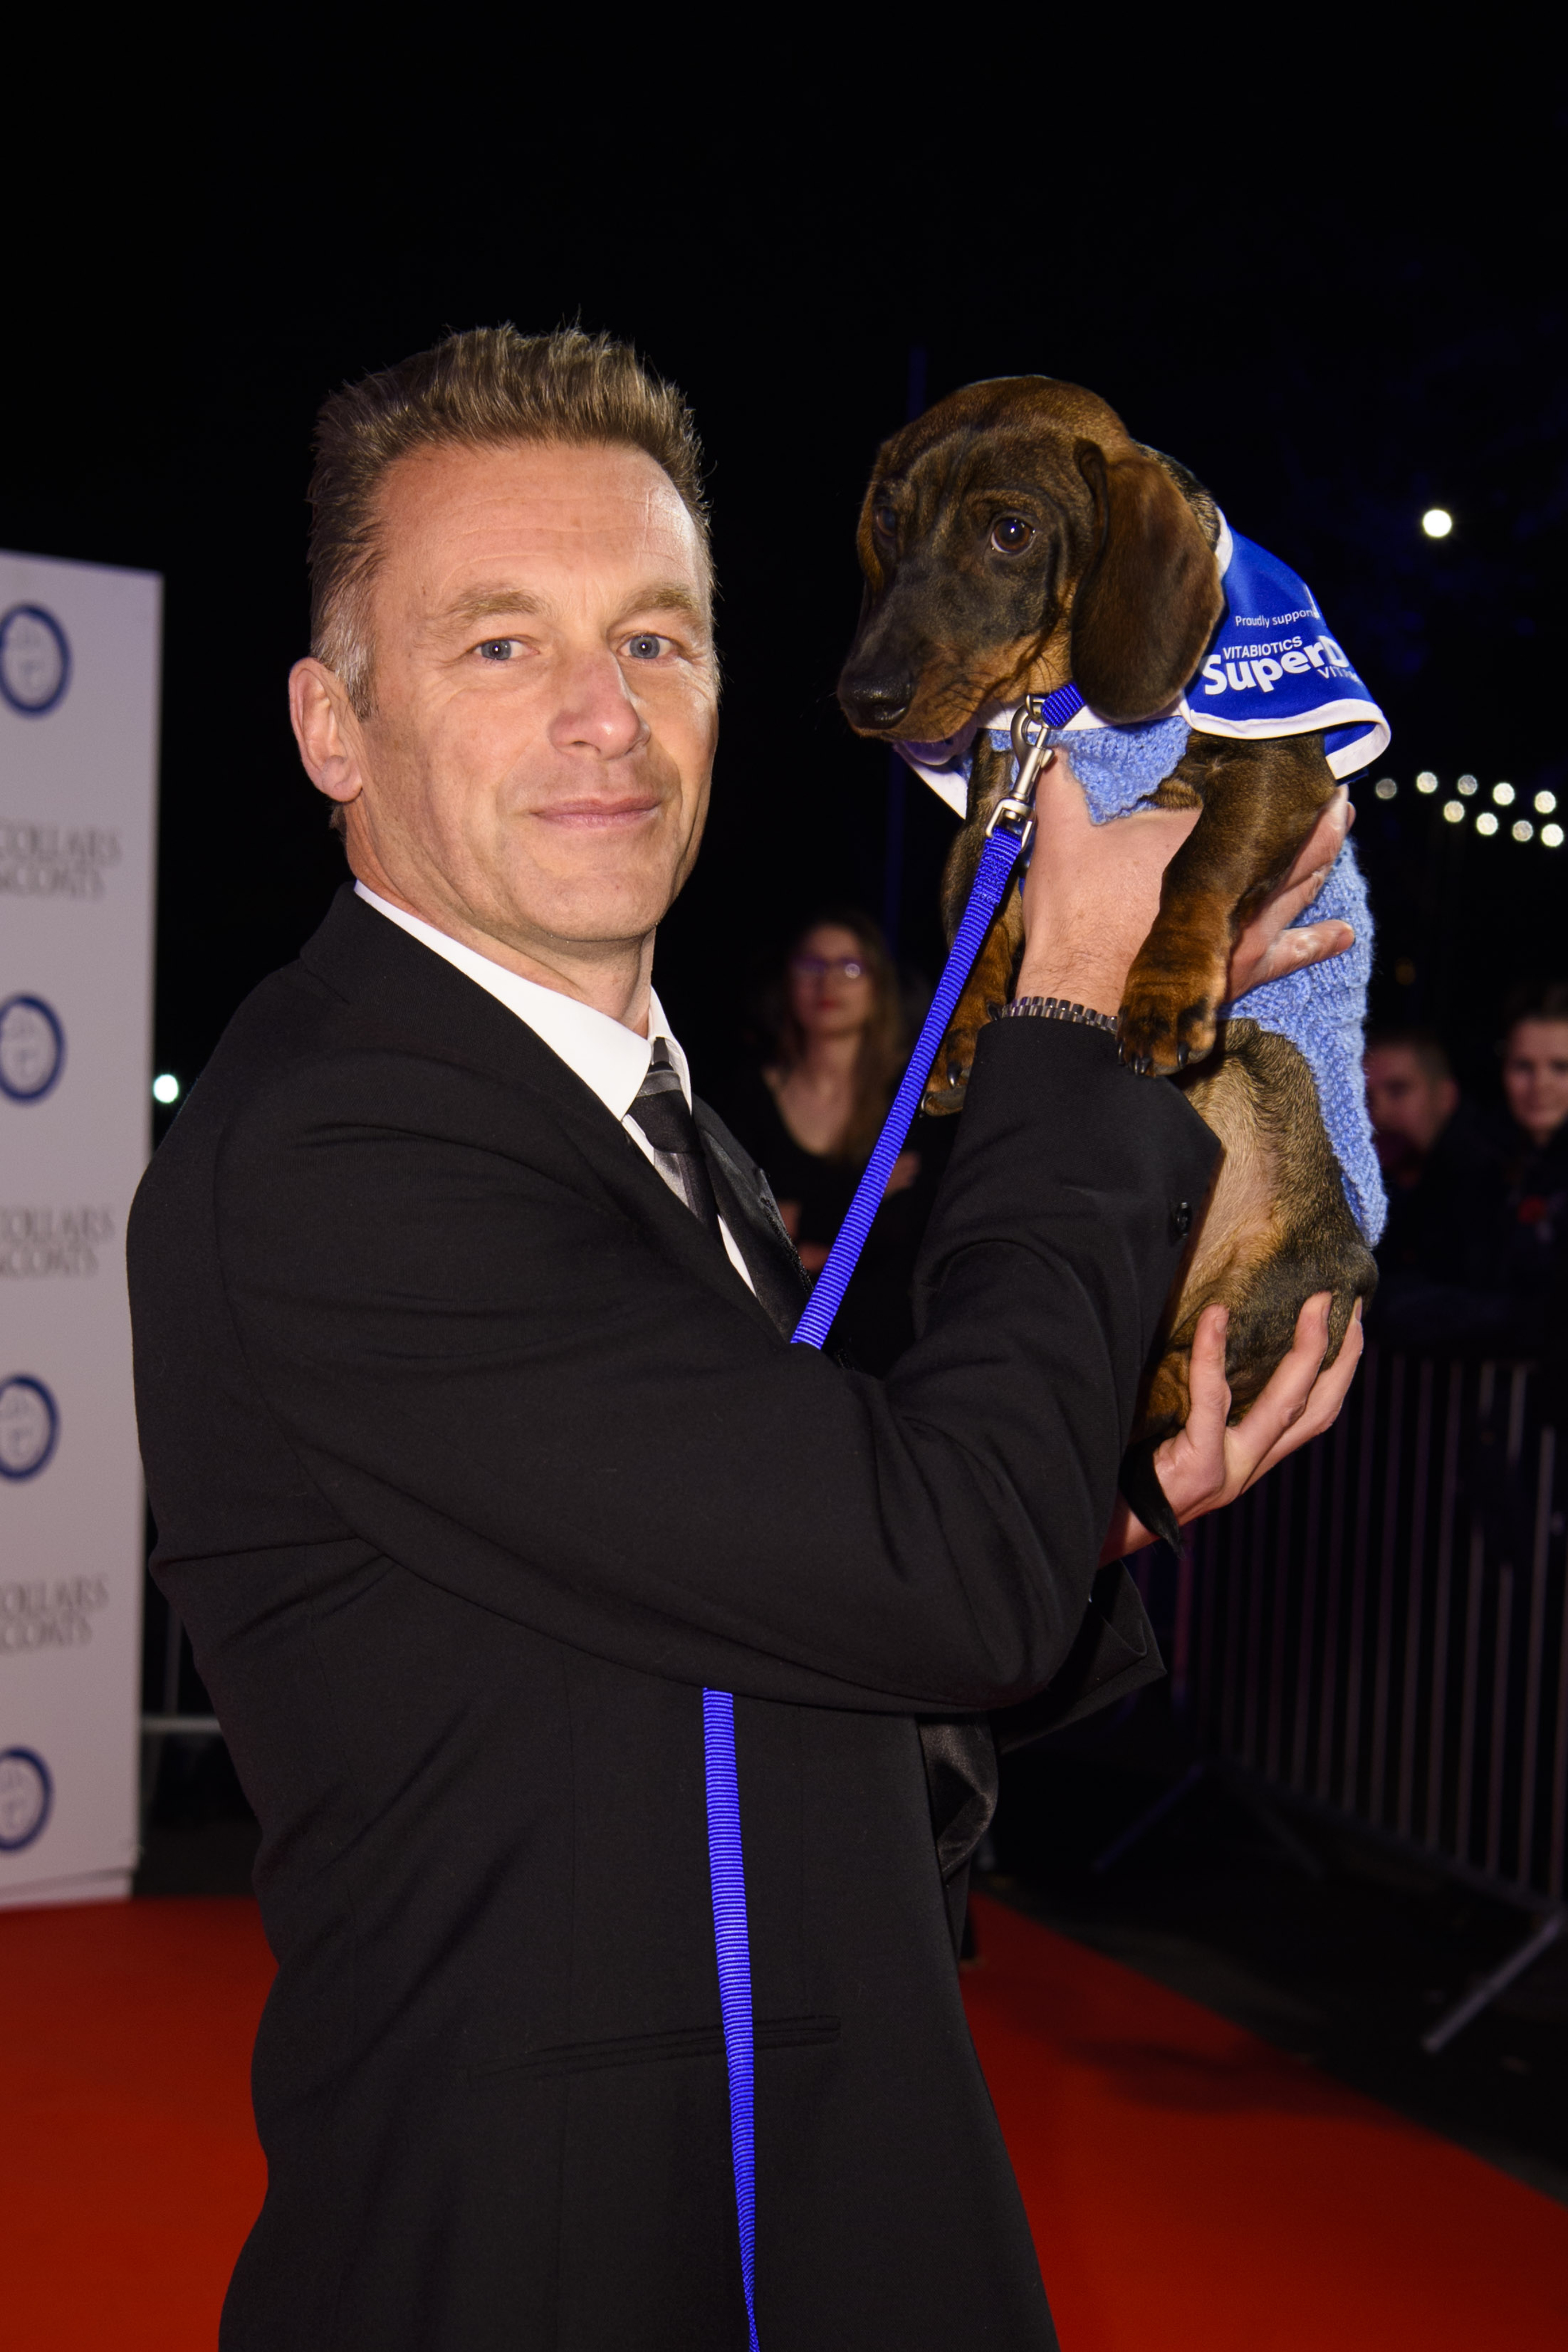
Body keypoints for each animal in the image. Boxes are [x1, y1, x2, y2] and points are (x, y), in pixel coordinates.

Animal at [832, 376, 1373, 1524]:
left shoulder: (1280, 771)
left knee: (1194, 1377)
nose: (866, 699)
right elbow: (980, 923)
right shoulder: (993, 808)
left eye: (1009, 530)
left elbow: (1195, 864)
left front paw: (1162, 992)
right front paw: (957, 1039)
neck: (1060, 711)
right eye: (891, 518)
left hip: (1302, 1274)